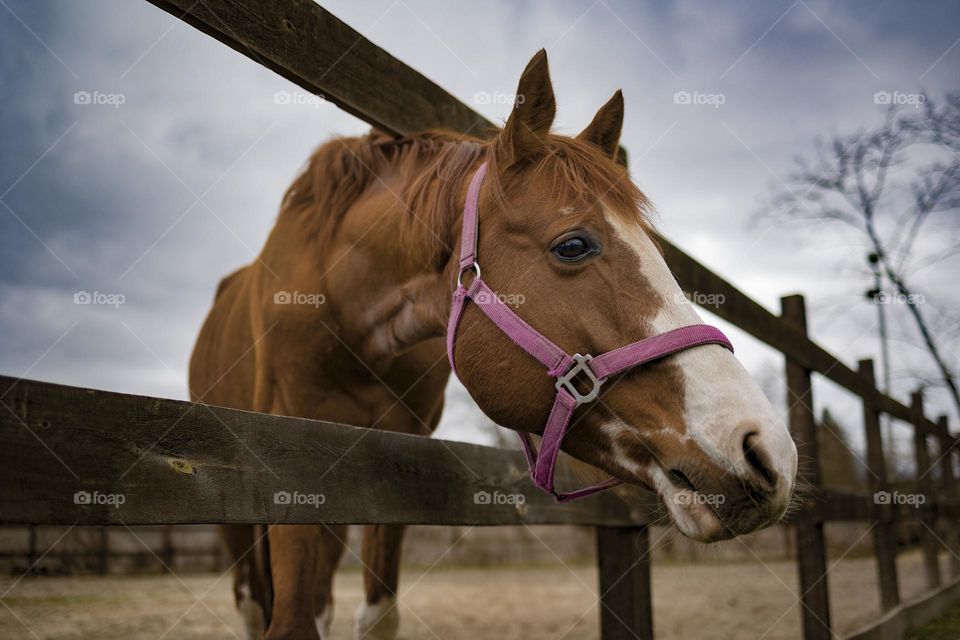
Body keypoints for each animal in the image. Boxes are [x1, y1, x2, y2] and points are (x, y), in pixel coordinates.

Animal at [189, 49, 798, 640]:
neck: (345, 305)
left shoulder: (388, 456)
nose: (765, 450)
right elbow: (291, 619)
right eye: (573, 245)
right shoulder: (285, 454)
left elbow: (373, 616)